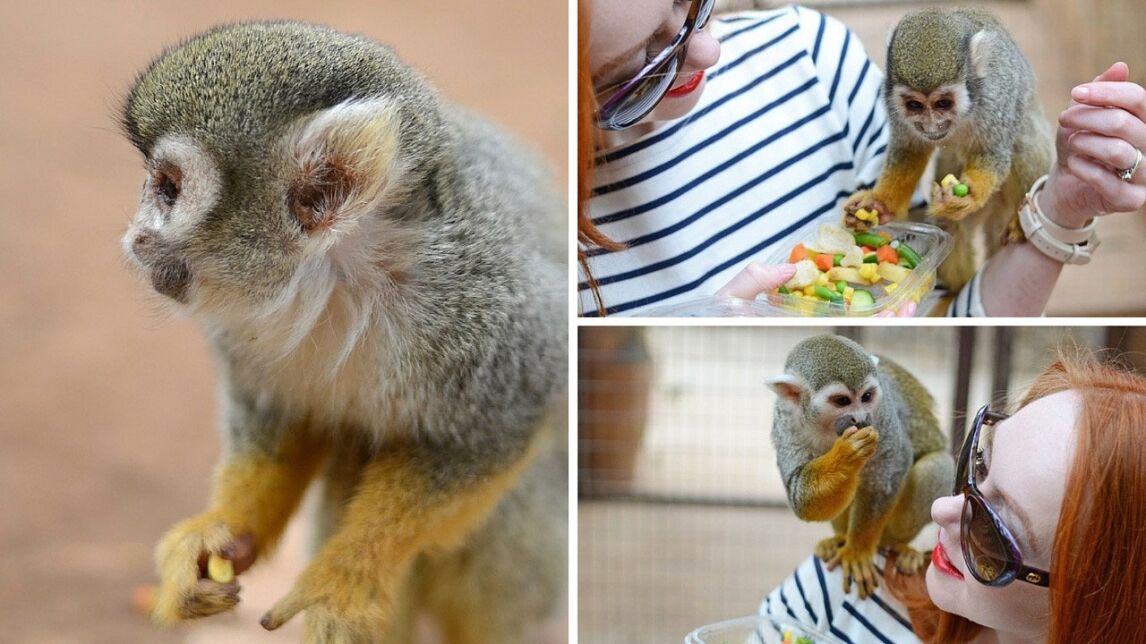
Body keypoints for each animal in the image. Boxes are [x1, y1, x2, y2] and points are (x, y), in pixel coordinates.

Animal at [120, 21, 566, 643]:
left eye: (166, 188)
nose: (135, 236)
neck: (341, 273)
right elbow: (284, 416)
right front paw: (226, 531)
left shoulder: (485, 306)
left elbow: (499, 427)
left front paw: (351, 570)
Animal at [765, 335, 954, 598]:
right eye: (842, 401)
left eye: (866, 397)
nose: (860, 418)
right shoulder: (784, 420)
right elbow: (800, 496)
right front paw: (846, 455)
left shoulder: (881, 413)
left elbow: (889, 471)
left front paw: (857, 550)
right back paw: (840, 538)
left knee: (936, 466)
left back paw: (902, 546)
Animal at [842, 8, 1054, 292]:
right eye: (915, 105)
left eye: (943, 103)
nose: (931, 125)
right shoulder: (891, 101)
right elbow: (909, 149)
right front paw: (881, 204)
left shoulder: (994, 98)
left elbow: (994, 152)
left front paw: (971, 194)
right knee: (949, 226)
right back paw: (961, 285)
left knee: (1022, 141)